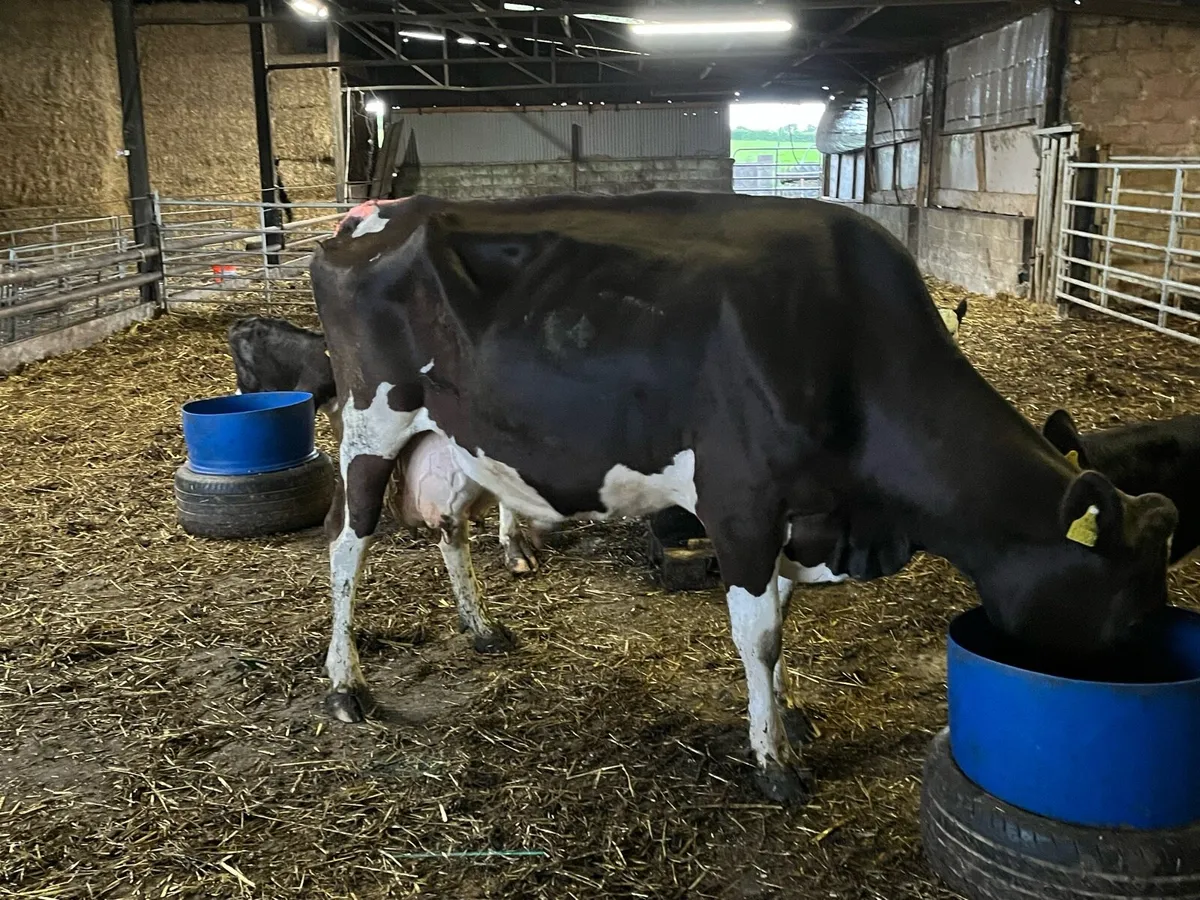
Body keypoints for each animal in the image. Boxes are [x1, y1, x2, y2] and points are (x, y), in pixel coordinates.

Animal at [309, 192, 1177, 804]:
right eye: (1134, 613)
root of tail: (374, 215)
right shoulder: (741, 502)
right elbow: (759, 635)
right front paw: (774, 761)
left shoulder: (802, 514)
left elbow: (785, 622)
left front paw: (786, 715)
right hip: (372, 423)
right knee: (347, 545)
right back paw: (347, 686)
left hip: (462, 436)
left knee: (450, 525)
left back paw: (481, 628)